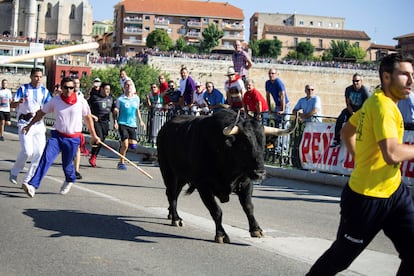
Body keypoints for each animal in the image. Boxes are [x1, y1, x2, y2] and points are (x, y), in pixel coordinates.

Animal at [156, 109, 298, 243]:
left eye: (263, 144)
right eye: (244, 144)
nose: (260, 173)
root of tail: (164, 128)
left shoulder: (246, 182)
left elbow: (248, 206)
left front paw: (256, 229)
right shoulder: (203, 187)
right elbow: (216, 211)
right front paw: (221, 235)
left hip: (182, 176)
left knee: (175, 193)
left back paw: (171, 215)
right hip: (168, 172)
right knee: (171, 194)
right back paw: (176, 218)